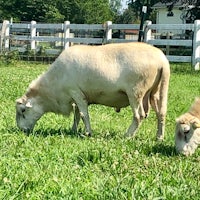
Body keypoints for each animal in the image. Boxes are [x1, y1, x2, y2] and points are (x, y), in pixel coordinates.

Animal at [15, 42, 170, 139]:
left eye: (23, 110)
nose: (21, 131)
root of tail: (162, 60)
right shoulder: (77, 96)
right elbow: (77, 115)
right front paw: (73, 130)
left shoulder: (75, 92)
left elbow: (84, 115)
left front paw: (88, 133)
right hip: (155, 92)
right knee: (161, 113)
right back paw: (159, 137)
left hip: (136, 92)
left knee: (139, 116)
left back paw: (127, 136)